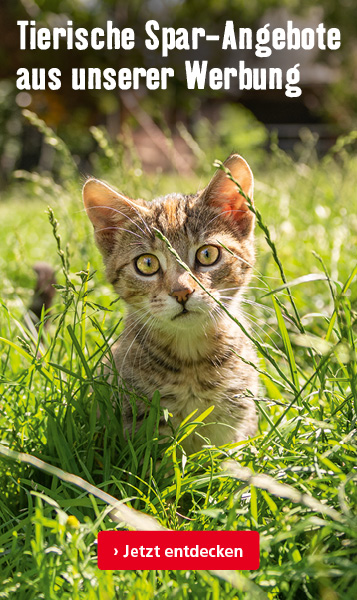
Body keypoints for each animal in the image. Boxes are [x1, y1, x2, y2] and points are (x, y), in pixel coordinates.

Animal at [82, 152, 258, 452]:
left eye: (208, 254)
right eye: (147, 263)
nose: (181, 292)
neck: (191, 359)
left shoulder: (235, 423)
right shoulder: (138, 420)